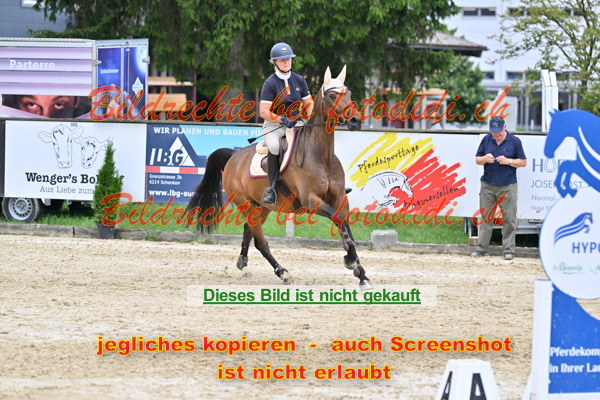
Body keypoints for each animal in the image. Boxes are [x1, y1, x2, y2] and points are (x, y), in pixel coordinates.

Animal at [185, 66, 372, 289]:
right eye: (333, 95)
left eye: (349, 93)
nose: (355, 121)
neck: (321, 155)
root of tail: (233, 157)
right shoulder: (311, 201)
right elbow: (339, 223)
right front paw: (350, 261)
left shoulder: (339, 199)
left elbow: (346, 228)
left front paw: (361, 273)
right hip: (246, 204)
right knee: (260, 241)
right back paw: (282, 272)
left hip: (261, 207)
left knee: (249, 232)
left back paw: (243, 262)